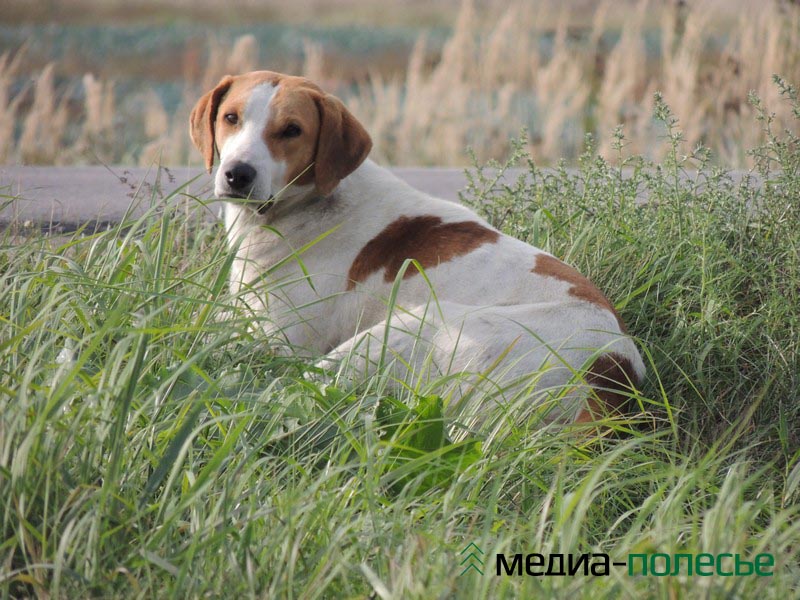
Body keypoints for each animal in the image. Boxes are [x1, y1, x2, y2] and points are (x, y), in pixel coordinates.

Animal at [188, 70, 644, 424]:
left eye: (291, 130)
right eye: (231, 118)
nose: (237, 174)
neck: (306, 206)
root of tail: (610, 381)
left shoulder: (282, 342)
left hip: (408, 327)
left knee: (293, 391)